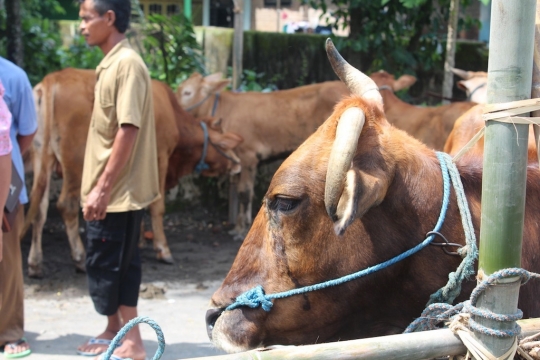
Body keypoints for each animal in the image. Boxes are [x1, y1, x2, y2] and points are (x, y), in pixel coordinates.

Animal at [25, 69, 243, 278]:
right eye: (224, 144)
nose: (238, 164)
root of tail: (54, 77)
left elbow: (138, 203)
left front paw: (140, 242)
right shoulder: (160, 158)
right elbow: (157, 206)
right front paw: (163, 249)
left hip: (43, 157)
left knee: (39, 208)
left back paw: (35, 263)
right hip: (75, 164)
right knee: (66, 206)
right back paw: (79, 258)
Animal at [174, 75, 350, 239]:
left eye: (187, 92)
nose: (176, 109)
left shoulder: (248, 157)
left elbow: (244, 193)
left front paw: (241, 229)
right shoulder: (237, 161)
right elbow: (238, 191)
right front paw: (237, 226)